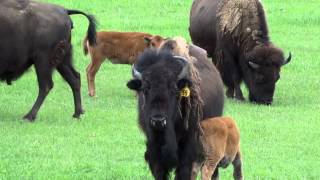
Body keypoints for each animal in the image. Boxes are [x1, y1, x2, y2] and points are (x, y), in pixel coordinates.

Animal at [126, 37, 224, 179]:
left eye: (173, 89)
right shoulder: (153, 146)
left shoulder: (188, 145)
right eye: (145, 89)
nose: (158, 120)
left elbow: (183, 171)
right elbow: (159, 171)